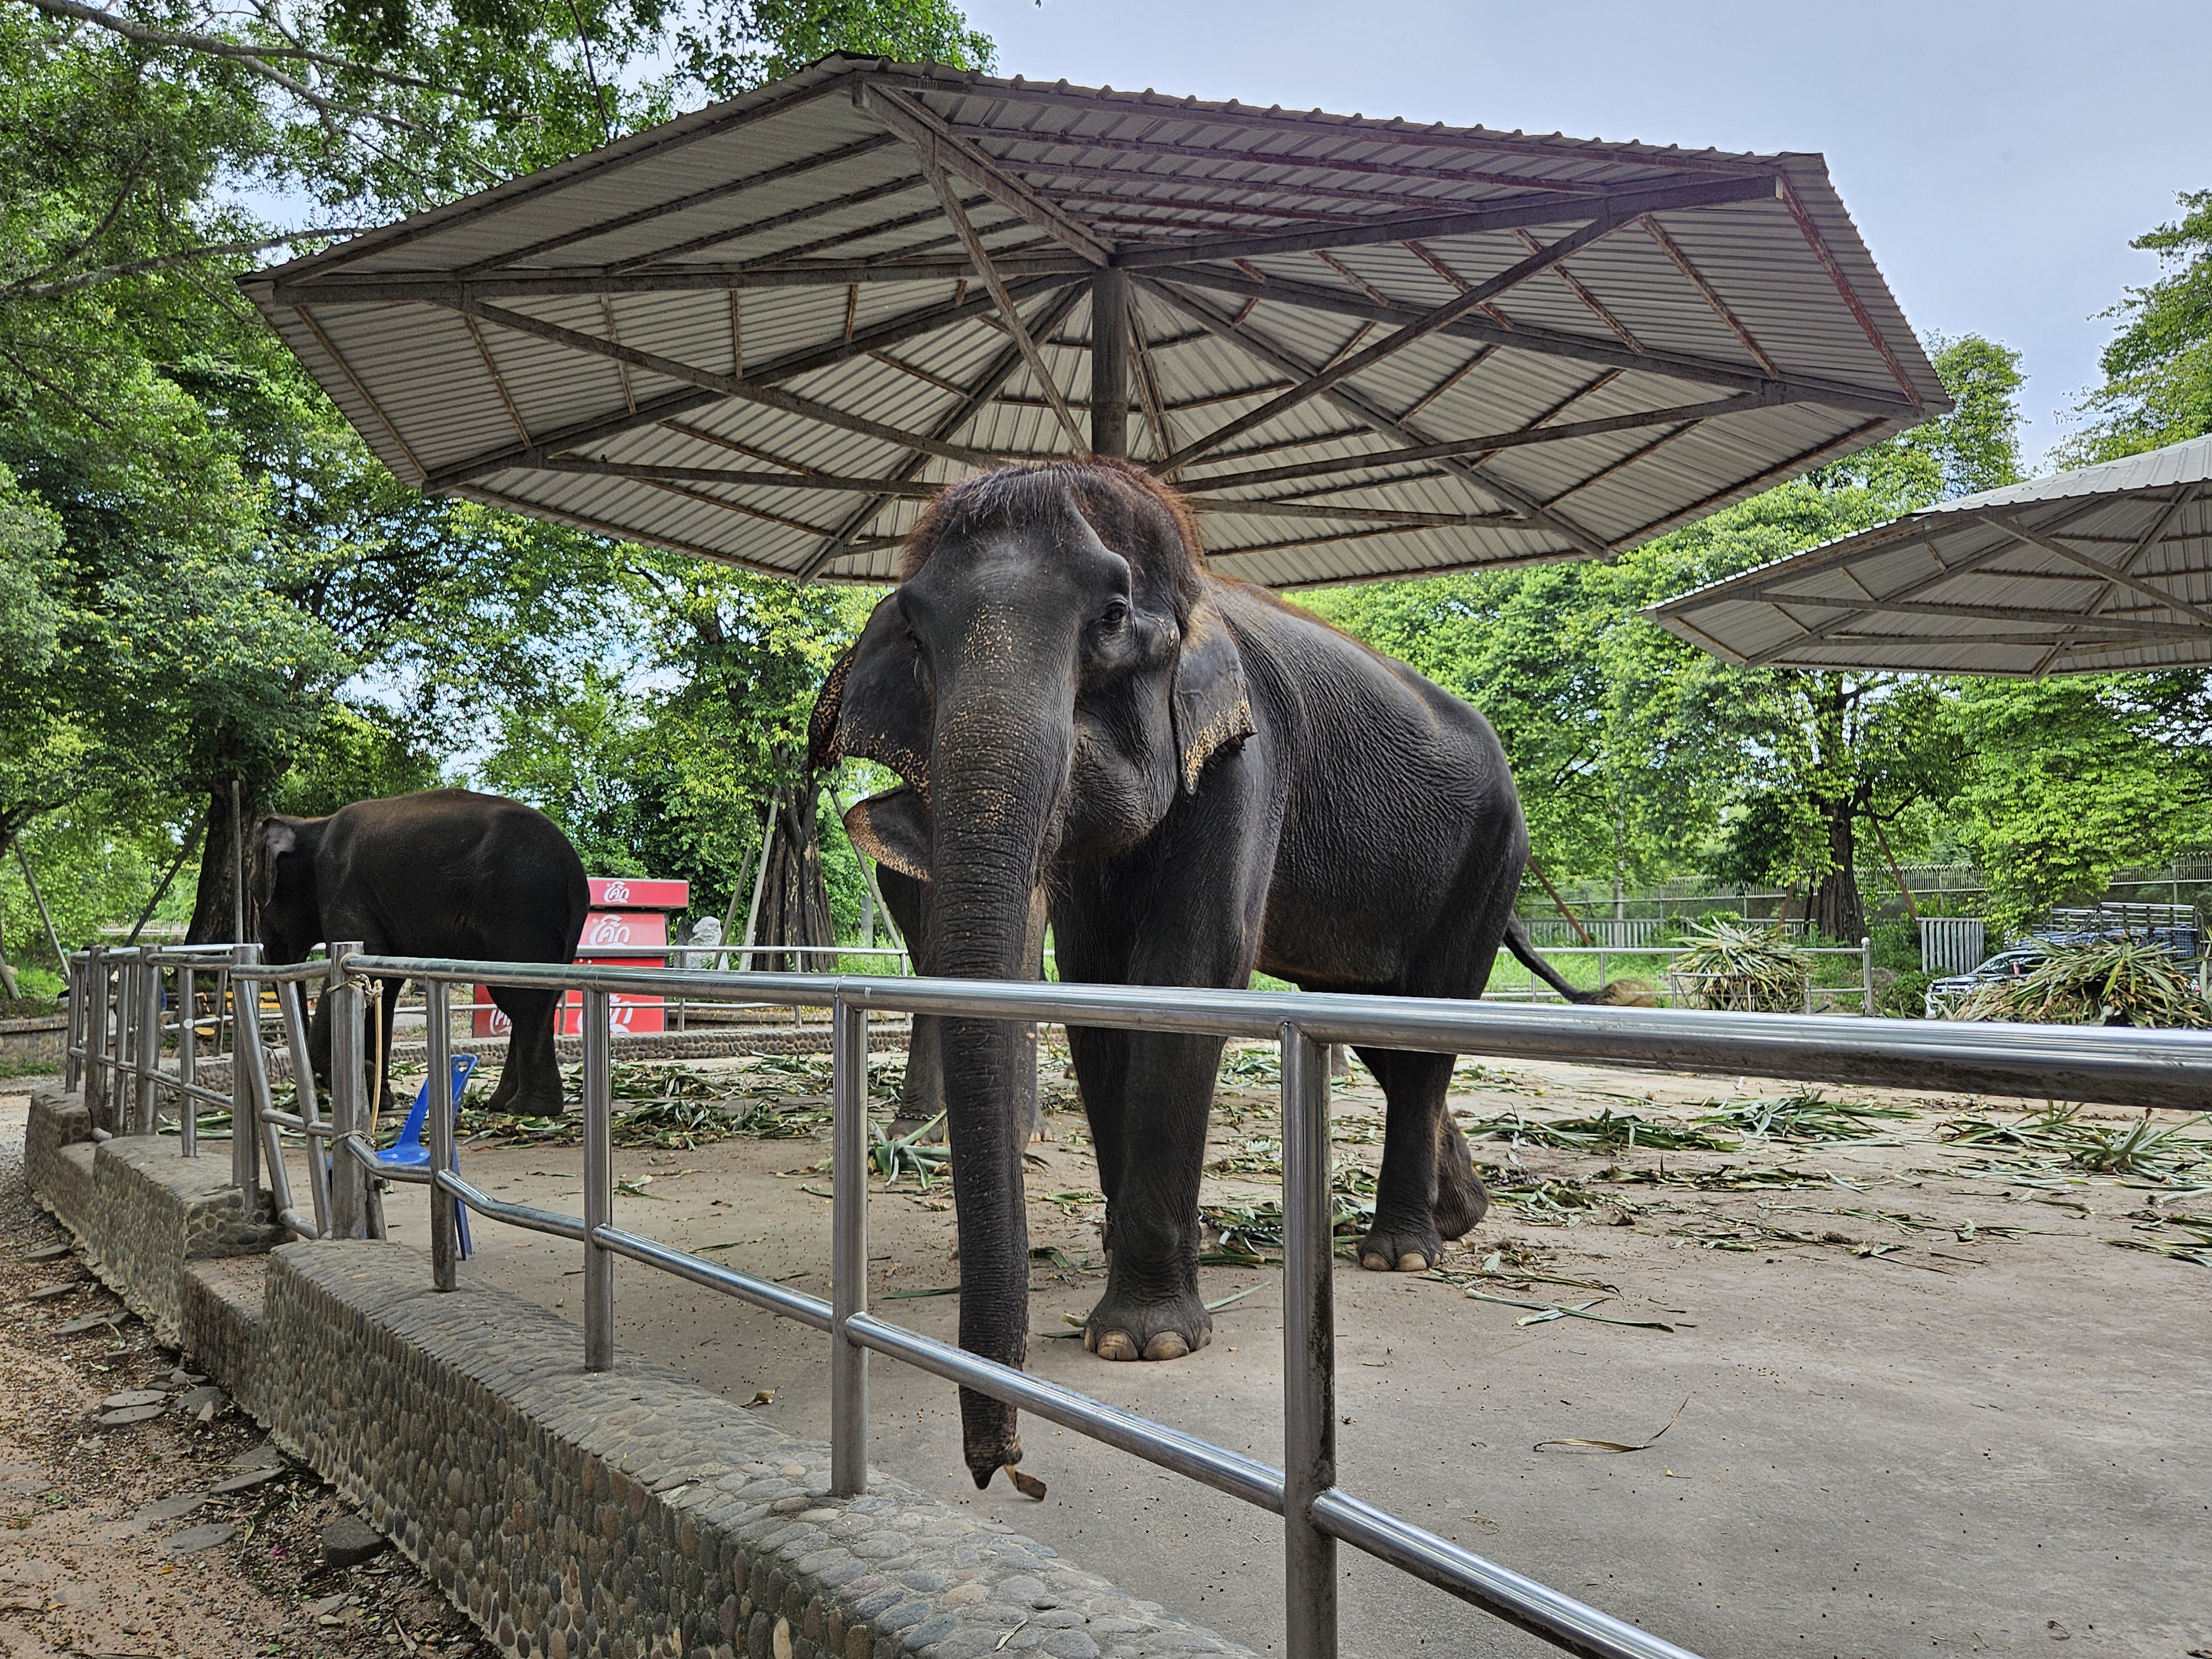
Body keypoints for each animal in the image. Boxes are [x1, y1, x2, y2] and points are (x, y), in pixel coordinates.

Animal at [253, 789, 589, 1118]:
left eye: (257, 899)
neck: (312, 825)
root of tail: (576, 875)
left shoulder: (342, 887)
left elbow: (368, 962)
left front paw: (368, 1078)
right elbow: (384, 985)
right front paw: (380, 1099)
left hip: (521, 908)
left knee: (521, 1000)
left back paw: (528, 1110)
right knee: (536, 1000)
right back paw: (505, 1105)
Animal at [810, 457, 1604, 1490]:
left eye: (1111, 617)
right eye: (912, 627)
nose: (1008, 1472)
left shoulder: (1245, 756)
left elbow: (1188, 972)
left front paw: (1141, 1341)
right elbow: (1100, 990)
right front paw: (1132, 1263)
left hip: (1489, 855)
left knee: (1426, 1027)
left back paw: (1401, 1254)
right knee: (1381, 1030)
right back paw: (1459, 1215)